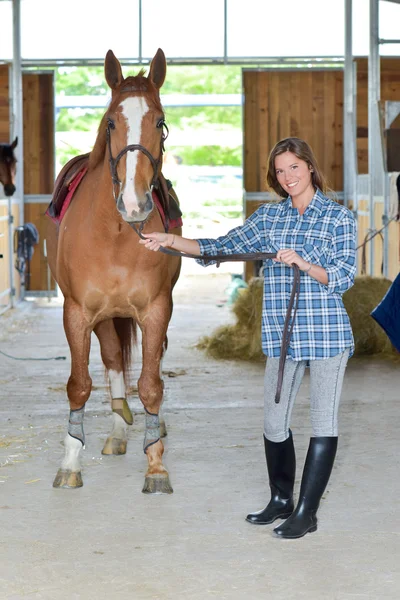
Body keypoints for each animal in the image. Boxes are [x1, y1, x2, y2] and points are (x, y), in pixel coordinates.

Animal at [47, 49, 183, 494]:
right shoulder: (77, 313)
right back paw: (118, 430)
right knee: (112, 362)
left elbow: (152, 385)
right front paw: (70, 462)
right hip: (106, 317)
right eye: (110, 122)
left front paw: (155, 464)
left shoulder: (157, 310)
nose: (134, 202)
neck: (117, 232)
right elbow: (80, 385)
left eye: (159, 121)